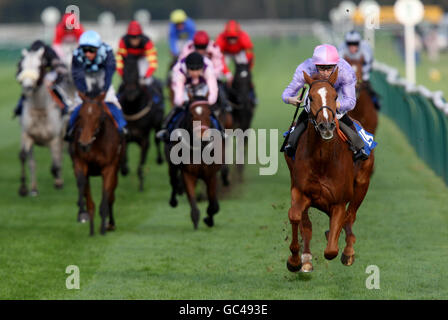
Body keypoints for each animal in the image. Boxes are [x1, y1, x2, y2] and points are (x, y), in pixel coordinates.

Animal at [16, 46, 65, 196]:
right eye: (21, 66)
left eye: (39, 66)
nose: (27, 87)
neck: (39, 108)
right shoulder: (27, 134)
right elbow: (23, 157)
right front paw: (24, 188)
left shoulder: (54, 137)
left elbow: (55, 164)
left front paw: (58, 183)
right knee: (32, 162)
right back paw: (33, 188)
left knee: (59, 156)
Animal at [68, 91, 124, 236]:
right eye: (80, 115)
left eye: (100, 116)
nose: (84, 143)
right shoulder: (80, 162)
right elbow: (82, 185)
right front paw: (84, 215)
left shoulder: (109, 168)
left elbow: (106, 196)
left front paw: (103, 228)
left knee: (111, 196)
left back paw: (110, 224)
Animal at [119, 54, 164, 191]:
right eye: (124, 73)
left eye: (137, 73)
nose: (131, 93)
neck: (133, 108)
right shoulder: (126, 136)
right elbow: (123, 159)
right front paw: (125, 169)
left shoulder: (144, 140)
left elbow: (141, 165)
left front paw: (140, 186)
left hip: (158, 124)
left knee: (157, 139)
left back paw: (160, 159)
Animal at [165, 99, 223, 229]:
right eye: (191, 115)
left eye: (209, 114)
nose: (203, 138)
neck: (199, 149)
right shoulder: (188, 173)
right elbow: (191, 197)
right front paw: (196, 219)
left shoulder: (211, 175)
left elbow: (214, 204)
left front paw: (209, 219)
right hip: (171, 164)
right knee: (173, 181)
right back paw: (173, 200)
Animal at [284, 68, 374, 272]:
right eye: (310, 97)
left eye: (335, 96)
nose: (326, 126)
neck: (322, 159)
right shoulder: (300, 191)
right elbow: (295, 216)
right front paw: (295, 260)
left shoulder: (339, 202)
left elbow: (331, 250)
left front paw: (341, 247)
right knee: (307, 223)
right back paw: (306, 259)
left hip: (362, 184)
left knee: (351, 216)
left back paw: (348, 251)